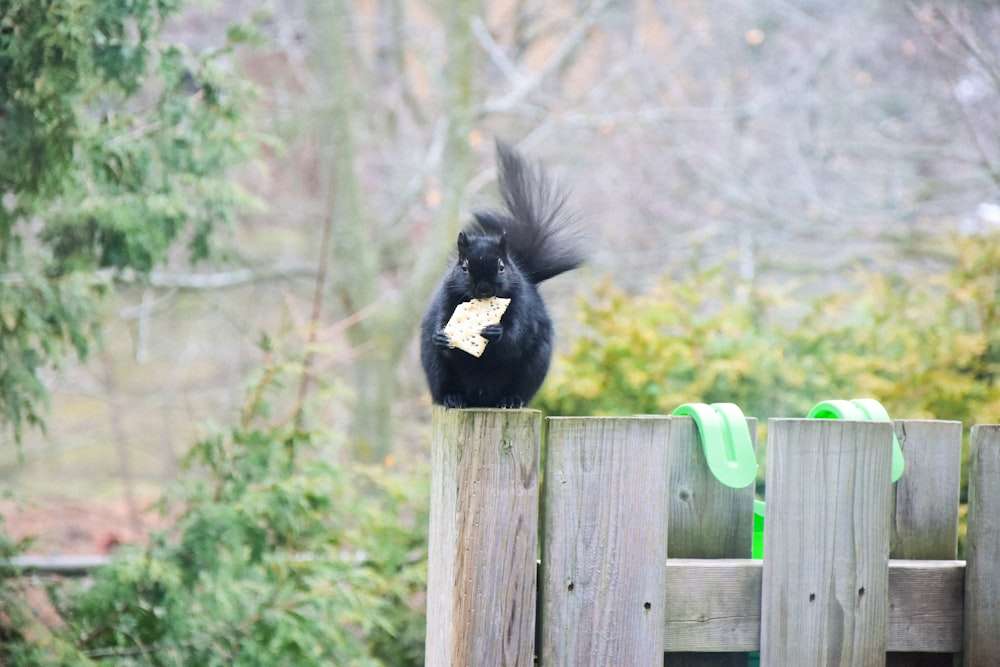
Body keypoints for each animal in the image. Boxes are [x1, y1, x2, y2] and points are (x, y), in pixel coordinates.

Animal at [416, 144, 584, 410]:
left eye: (502, 266)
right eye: (464, 267)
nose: (484, 288)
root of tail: (481, 398)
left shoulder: (523, 307)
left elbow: (516, 336)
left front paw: (496, 332)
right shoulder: (446, 298)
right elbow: (442, 325)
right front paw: (441, 336)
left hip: (533, 368)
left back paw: (510, 400)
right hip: (436, 370)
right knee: (444, 387)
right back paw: (453, 398)